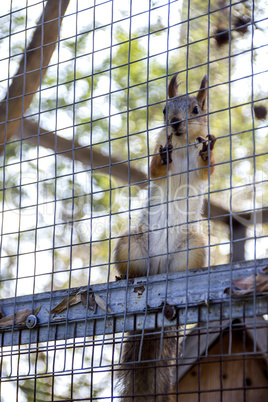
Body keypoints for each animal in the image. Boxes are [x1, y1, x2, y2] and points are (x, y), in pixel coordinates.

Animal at [114, 74, 217, 398]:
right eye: (163, 110)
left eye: (196, 109)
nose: (174, 123)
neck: (182, 146)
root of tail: (160, 270)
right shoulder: (158, 157)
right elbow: (155, 169)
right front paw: (163, 157)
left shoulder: (200, 172)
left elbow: (206, 170)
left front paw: (207, 152)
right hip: (130, 245)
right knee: (134, 270)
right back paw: (124, 277)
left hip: (192, 248)